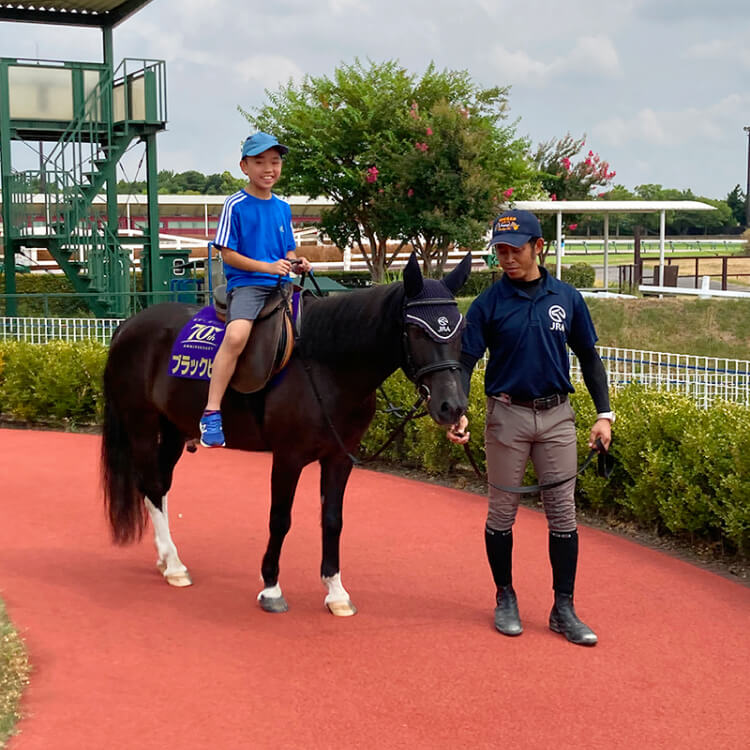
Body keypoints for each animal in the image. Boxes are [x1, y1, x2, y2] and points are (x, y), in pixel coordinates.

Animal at [103, 253, 472, 616]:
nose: (451, 406)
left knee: (160, 486)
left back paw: (166, 560)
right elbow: (280, 519)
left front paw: (336, 591)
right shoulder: (287, 458)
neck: (326, 365)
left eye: (460, 328)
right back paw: (175, 565)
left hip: (174, 430)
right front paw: (271, 587)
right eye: (416, 330)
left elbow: (332, 519)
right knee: (151, 486)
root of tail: (127, 325)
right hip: (142, 424)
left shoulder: (339, 458)